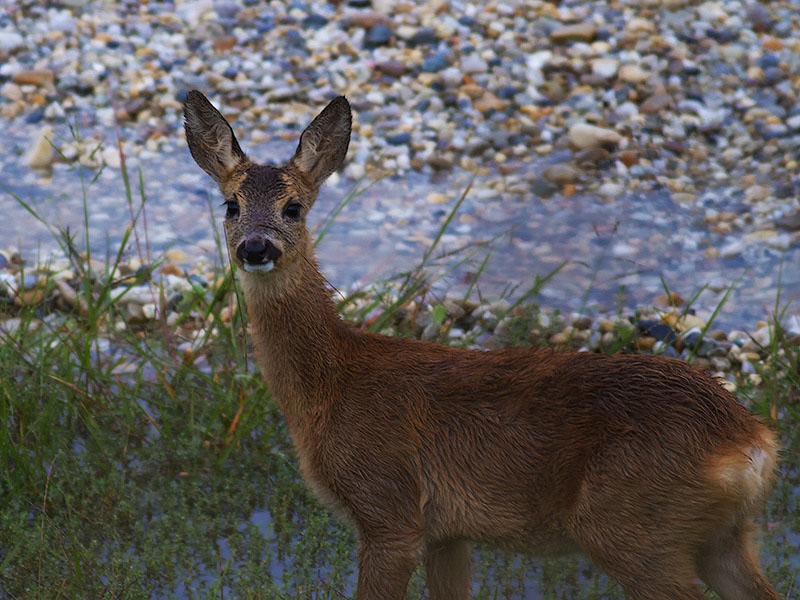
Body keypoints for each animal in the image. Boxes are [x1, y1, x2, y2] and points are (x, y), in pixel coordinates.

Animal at [183, 90, 780, 600]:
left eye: (294, 207)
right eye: (231, 205)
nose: (256, 248)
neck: (333, 384)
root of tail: (750, 443)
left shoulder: (388, 509)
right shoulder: (447, 533)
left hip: (632, 526)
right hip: (719, 536)